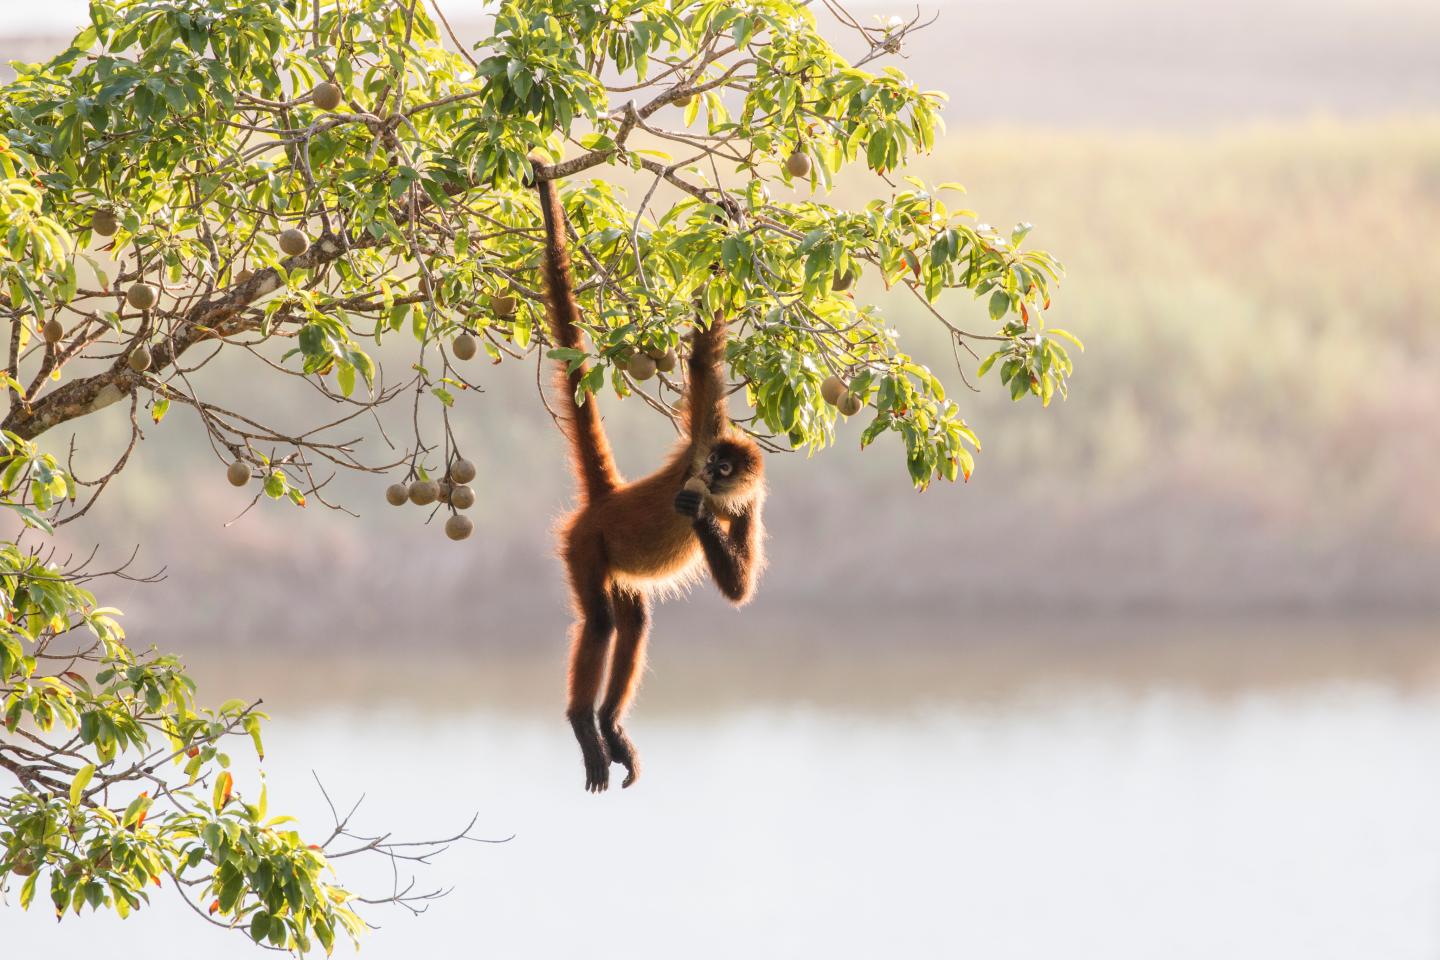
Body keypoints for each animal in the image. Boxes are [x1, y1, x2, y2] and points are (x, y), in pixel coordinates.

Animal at [535, 173, 766, 793]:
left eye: (725, 471)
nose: (706, 476)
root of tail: (606, 500)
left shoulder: (749, 504)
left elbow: (739, 591)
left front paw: (702, 515)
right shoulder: (705, 432)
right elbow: (705, 356)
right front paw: (727, 219)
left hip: (617, 565)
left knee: (633, 622)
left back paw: (610, 724)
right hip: (585, 544)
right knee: (599, 622)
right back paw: (583, 723)